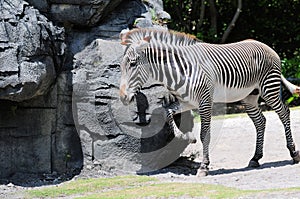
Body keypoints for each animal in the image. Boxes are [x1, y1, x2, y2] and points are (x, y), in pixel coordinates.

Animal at [118, 28, 300, 176]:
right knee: (260, 121)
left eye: (133, 64)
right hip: (249, 97)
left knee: (284, 113)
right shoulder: (187, 102)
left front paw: (203, 167)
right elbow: (167, 112)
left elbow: (205, 134)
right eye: (120, 66)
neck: (180, 70)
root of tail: (266, 46)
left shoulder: (205, 101)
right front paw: (185, 136)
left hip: (269, 89)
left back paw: (293, 153)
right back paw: (255, 158)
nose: (123, 98)